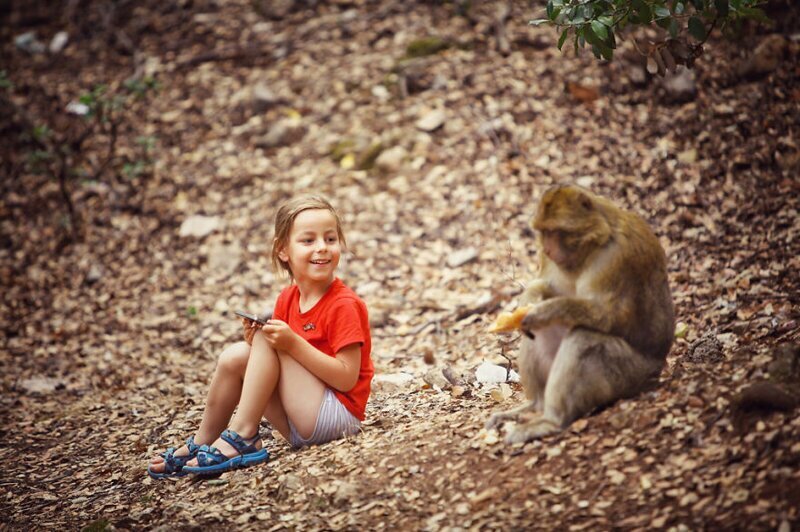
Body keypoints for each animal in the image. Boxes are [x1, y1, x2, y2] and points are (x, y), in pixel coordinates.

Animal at [488, 185, 676, 442]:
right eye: (544, 232)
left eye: (555, 231)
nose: (547, 249)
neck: (592, 245)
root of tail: (658, 369)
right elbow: (551, 288)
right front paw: (529, 299)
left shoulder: (615, 258)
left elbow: (607, 314)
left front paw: (545, 311)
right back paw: (535, 406)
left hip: (632, 375)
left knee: (584, 338)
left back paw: (551, 420)